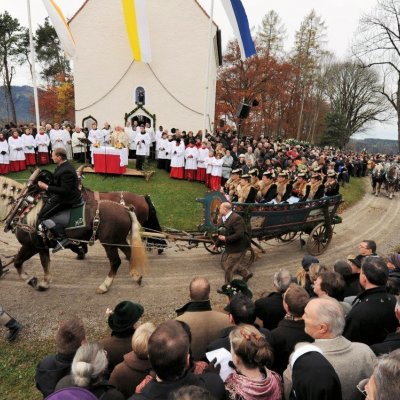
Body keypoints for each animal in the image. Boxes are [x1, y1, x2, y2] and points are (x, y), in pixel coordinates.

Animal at [0, 170, 148, 294]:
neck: (25, 210)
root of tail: (125, 209)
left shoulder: (31, 246)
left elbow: (18, 261)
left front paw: (31, 280)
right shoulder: (41, 246)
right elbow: (43, 263)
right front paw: (44, 282)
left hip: (109, 243)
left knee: (115, 262)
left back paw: (105, 285)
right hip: (119, 240)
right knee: (130, 254)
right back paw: (136, 276)